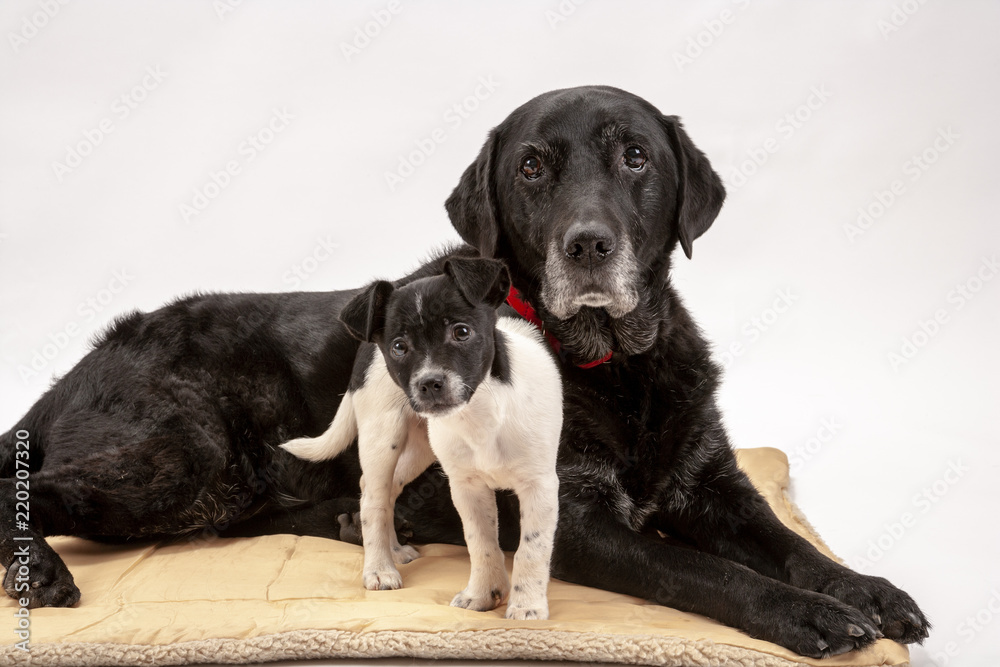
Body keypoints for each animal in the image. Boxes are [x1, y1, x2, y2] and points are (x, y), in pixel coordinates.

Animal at [282, 260, 564, 620]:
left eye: (461, 332)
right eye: (399, 347)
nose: (429, 384)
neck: (481, 413)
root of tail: (365, 346)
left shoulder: (538, 486)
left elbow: (531, 547)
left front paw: (524, 604)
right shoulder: (467, 487)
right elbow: (481, 543)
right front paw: (485, 593)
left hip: (419, 448)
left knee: (388, 490)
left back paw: (394, 550)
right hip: (382, 436)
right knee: (372, 498)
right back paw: (380, 568)